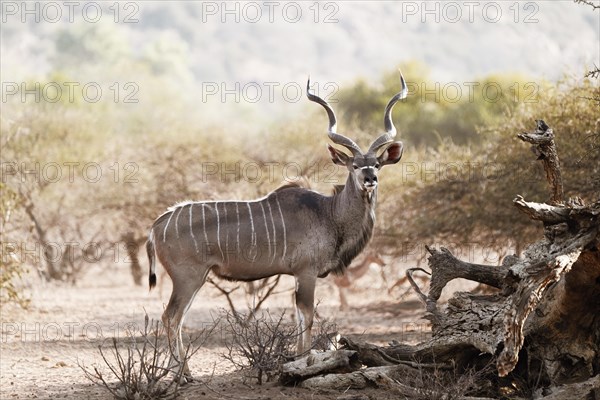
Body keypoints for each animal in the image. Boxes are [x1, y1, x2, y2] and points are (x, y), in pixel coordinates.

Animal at [146, 74, 408, 378]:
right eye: (354, 165)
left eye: (377, 164)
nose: (370, 179)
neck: (329, 214)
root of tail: (158, 224)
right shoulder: (306, 272)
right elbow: (307, 316)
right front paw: (305, 363)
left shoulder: (297, 275)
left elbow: (300, 317)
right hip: (188, 278)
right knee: (170, 317)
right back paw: (181, 375)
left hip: (195, 279)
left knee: (176, 317)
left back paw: (184, 372)